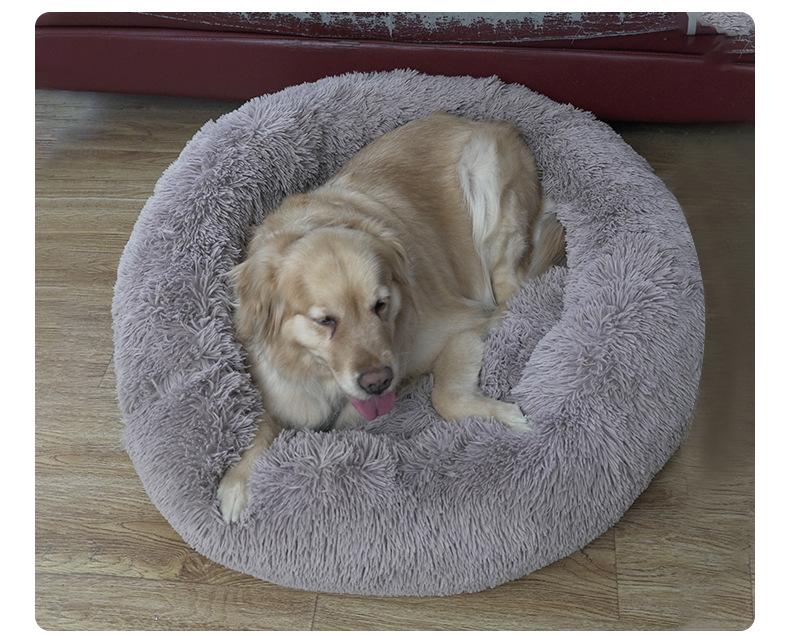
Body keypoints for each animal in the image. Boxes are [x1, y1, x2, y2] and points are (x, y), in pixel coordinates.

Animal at [217, 112, 565, 522]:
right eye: (325, 320)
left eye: (381, 305)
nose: (378, 381)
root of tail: (492, 124)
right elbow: (262, 420)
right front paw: (238, 480)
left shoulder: (462, 324)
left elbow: (444, 396)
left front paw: (504, 415)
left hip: (487, 184)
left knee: (514, 289)